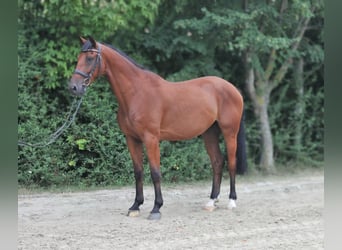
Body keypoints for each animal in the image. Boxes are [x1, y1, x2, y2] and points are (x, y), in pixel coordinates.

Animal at [69, 36, 246, 220]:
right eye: (79, 57)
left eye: (90, 58)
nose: (73, 87)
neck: (137, 93)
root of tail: (233, 89)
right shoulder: (132, 139)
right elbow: (138, 172)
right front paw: (135, 206)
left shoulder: (151, 138)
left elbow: (155, 172)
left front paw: (156, 208)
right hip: (209, 133)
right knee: (217, 162)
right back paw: (211, 201)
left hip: (230, 133)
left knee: (231, 162)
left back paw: (231, 201)